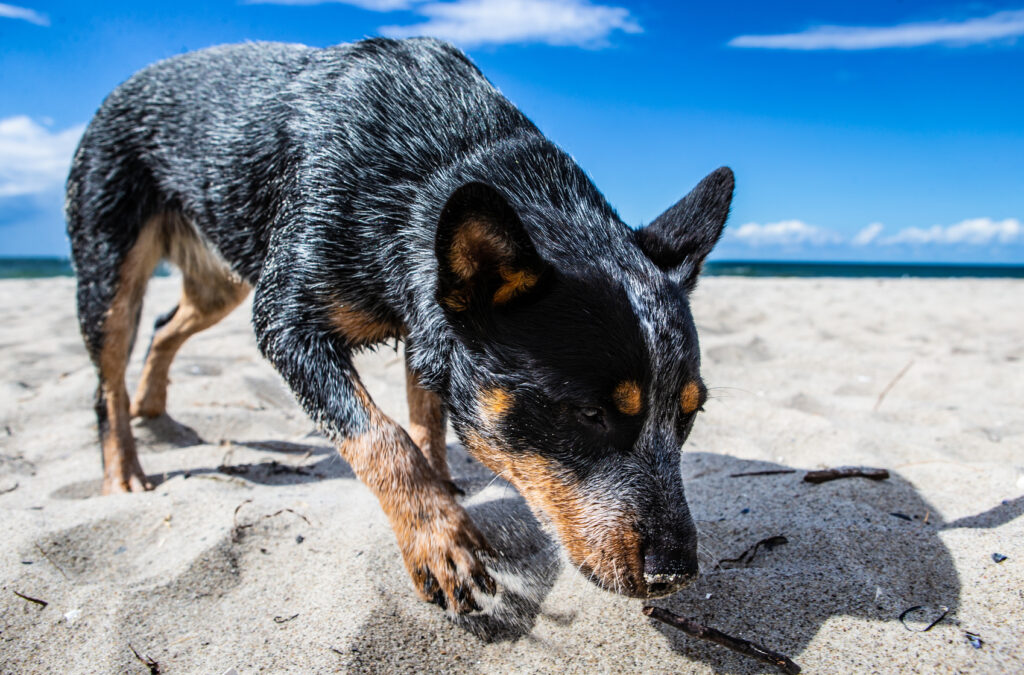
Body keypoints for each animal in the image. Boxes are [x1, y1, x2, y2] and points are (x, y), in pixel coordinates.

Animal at [64, 38, 733, 618]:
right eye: (589, 414)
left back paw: (153, 406)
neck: (433, 163)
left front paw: (445, 495)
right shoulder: (285, 321)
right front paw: (438, 539)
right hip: (110, 266)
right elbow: (385, 438)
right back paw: (123, 469)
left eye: (688, 414)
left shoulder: (423, 317)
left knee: (165, 326)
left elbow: (425, 420)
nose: (675, 572)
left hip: (219, 278)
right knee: (106, 378)